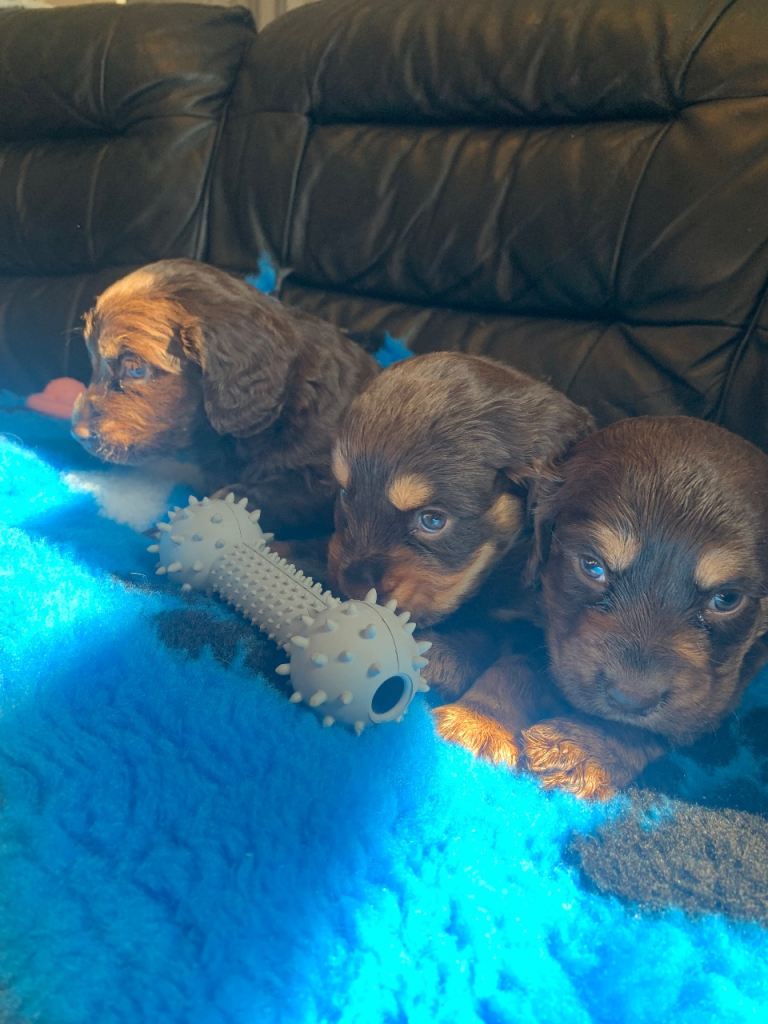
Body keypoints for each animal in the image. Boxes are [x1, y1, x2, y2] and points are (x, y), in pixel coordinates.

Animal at [436, 416, 768, 798]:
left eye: (727, 598)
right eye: (593, 566)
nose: (631, 698)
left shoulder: (720, 695)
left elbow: (657, 728)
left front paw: (582, 749)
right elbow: (520, 649)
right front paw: (473, 707)